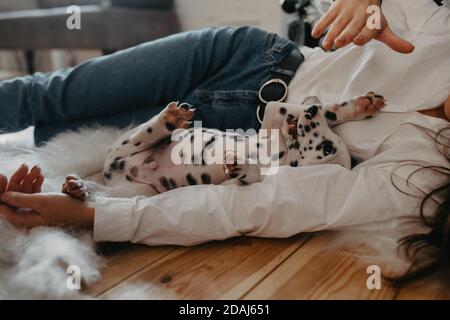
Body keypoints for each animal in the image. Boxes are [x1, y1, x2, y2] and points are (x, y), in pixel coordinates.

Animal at [61, 91, 384, 200]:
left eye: (328, 148)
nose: (311, 111)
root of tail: (116, 169)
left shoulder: (232, 186)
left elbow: (248, 176)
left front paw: (242, 165)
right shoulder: (271, 114)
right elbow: (306, 109)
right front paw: (358, 105)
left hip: (136, 193)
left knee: (101, 193)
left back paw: (78, 187)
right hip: (130, 143)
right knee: (148, 131)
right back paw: (170, 119)